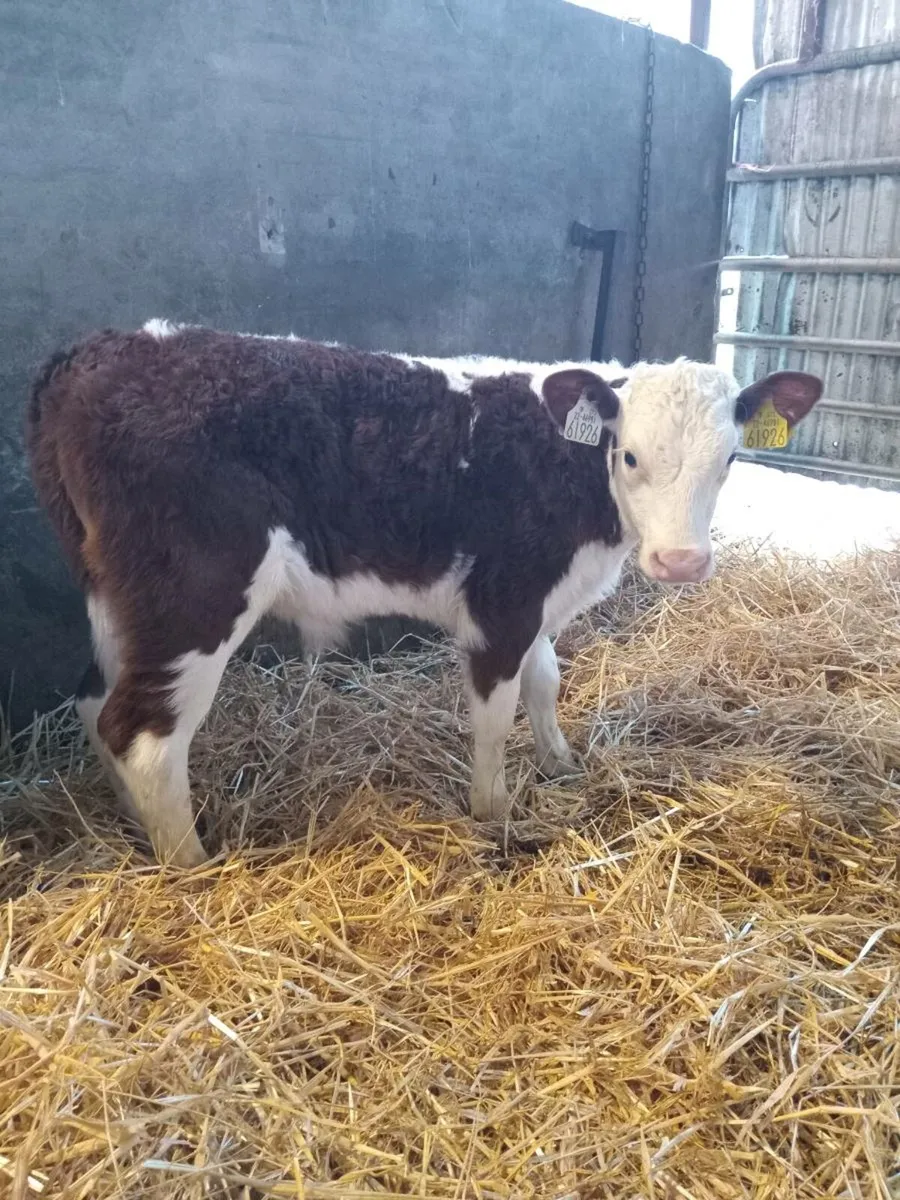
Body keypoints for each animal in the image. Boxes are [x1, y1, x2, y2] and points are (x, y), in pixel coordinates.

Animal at [26, 321, 823, 866]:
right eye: (628, 455)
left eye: (731, 458)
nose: (682, 562)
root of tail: (100, 350)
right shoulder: (503, 601)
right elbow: (496, 714)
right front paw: (493, 812)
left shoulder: (537, 605)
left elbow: (546, 681)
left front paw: (563, 766)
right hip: (194, 594)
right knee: (145, 734)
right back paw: (192, 864)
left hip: (121, 600)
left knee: (96, 702)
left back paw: (137, 828)